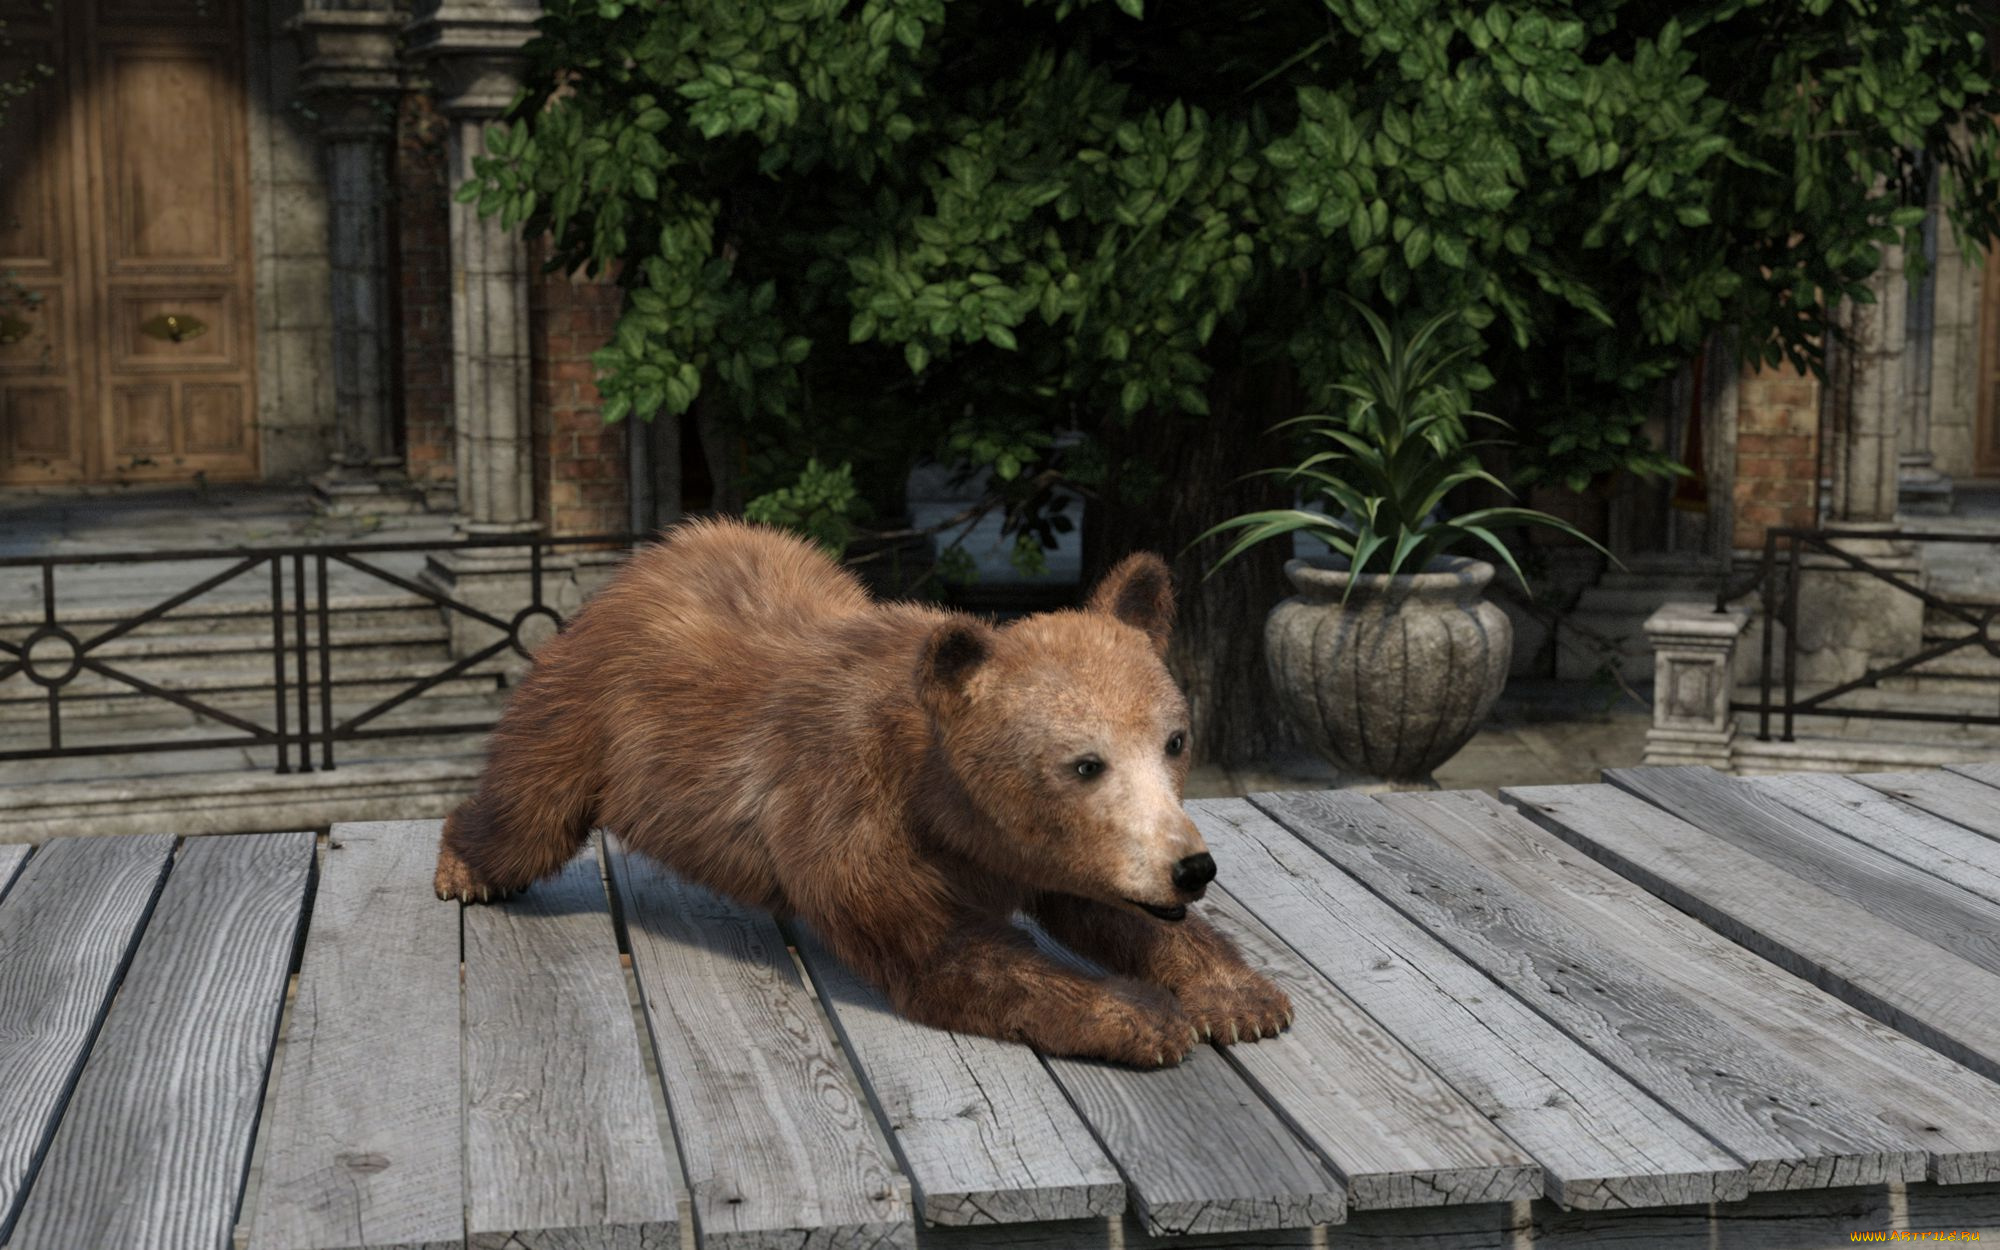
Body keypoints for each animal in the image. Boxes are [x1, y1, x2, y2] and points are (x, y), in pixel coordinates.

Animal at [434, 517, 1291, 1067]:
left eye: (1173, 740)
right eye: (1085, 762)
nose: (1192, 867)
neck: (944, 802)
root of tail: (650, 556)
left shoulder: (1041, 848)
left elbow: (1101, 905)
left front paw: (1238, 995)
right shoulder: (850, 810)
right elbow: (945, 951)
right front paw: (1146, 1017)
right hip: (592, 708)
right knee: (530, 806)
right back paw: (463, 866)